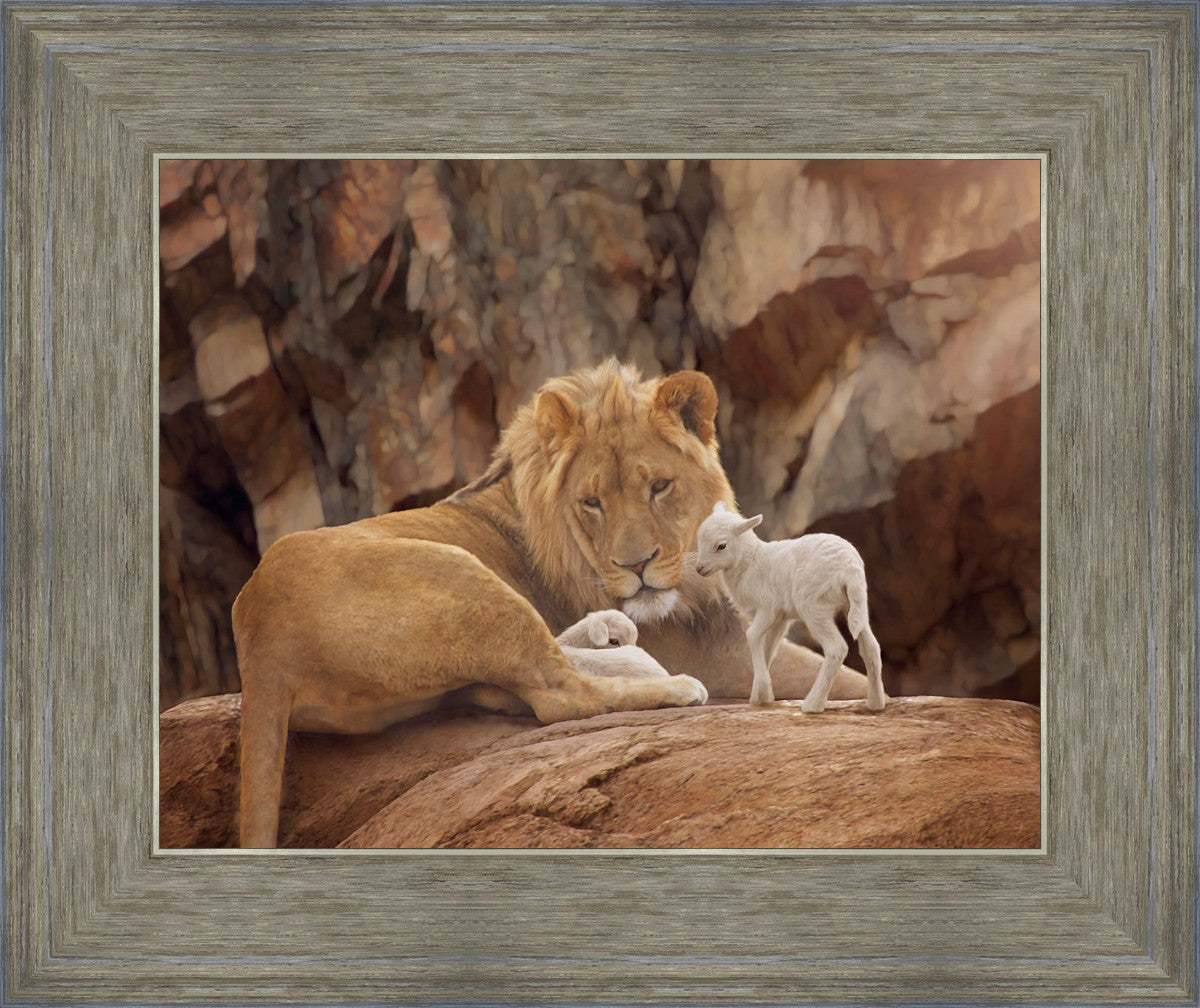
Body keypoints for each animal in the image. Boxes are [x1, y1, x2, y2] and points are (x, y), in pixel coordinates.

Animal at [694, 502, 886, 713]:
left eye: (721, 546)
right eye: (699, 538)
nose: (699, 568)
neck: (750, 561)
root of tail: (850, 568)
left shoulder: (767, 608)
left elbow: (752, 636)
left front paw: (762, 690)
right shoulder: (780, 618)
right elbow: (768, 648)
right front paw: (761, 695)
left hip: (814, 607)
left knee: (836, 648)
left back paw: (812, 704)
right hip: (856, 605)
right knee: (871, 647)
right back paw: (876, 703)